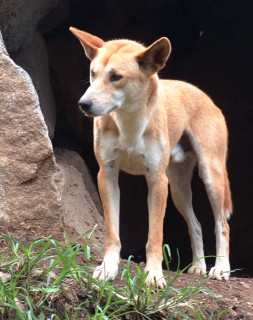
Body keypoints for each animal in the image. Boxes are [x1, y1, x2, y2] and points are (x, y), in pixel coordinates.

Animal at [69, 26, 233, 288]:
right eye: (93, 73)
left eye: (116, 76)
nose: (84, 104)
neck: (129, 122)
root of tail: (202, 93)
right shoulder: (107, 175)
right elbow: (112, 233)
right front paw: (107, 268)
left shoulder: (156, 180)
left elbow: (155, 235)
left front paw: (154, 275)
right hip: (177, 189)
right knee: (196, 225)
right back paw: (198, 266)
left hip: (210, 177)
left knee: (222, 225)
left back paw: (221, 268)